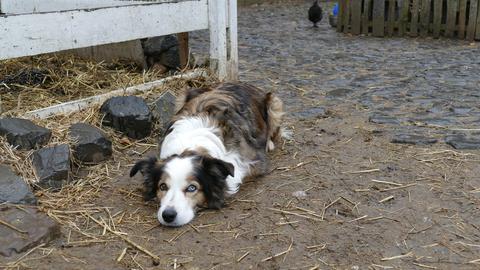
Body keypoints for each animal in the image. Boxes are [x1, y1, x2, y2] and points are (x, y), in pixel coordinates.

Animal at [129, 81, 284, 226]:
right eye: (162, 186)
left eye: (192, 188)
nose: (168, 215)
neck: (190, 146)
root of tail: (238, 82)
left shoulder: (252, 163)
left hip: (274, 104)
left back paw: (269, 143)